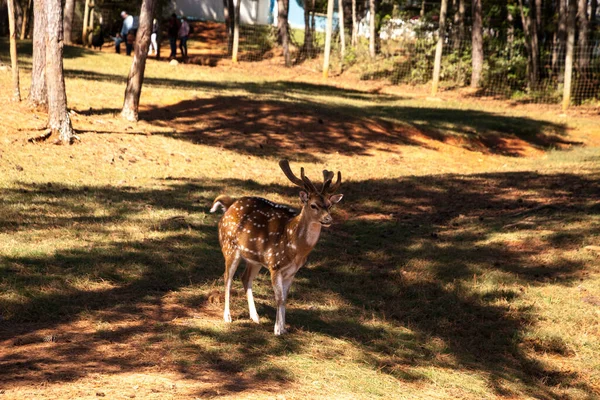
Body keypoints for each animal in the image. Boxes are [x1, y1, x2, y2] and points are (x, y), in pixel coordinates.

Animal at [210, 159, 342, 334]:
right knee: (227, 278)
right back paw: (228, 317)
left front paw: (284, 328)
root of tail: (230, 203)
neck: (294, 247)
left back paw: (255, 317)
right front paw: (277, 330)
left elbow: (285, 298)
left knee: (245, 278)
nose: (328, 219)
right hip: (229, 247)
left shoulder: (292, 271)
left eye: (329, 205)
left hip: (254, 259)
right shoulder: (275, 265)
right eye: (313, 205)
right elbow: (278, 298)